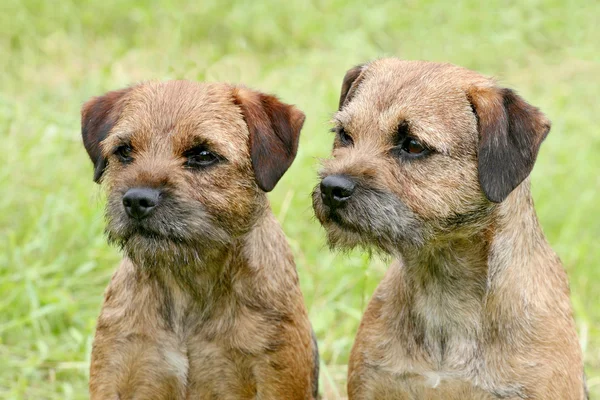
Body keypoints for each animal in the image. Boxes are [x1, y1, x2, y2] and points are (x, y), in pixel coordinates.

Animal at [82, 79, 322, 398]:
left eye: (203, 155)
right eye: (124, 151)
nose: (136, 200)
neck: (187, 285)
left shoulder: (276, 378)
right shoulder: (113, 372)